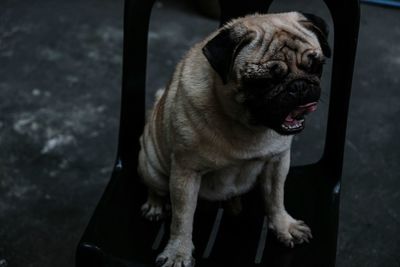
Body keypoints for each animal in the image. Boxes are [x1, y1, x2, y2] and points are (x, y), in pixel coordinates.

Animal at [138, 11, 332, 266]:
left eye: (316, 67)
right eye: (263, 81)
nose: (299, 85)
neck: (247, 127)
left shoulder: (277, 162)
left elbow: (276, 198)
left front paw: (284, 226)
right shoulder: (185, 173)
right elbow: (182, 218)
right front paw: (178, 252)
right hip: (152, 164)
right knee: (156, 188)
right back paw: (155, 205)